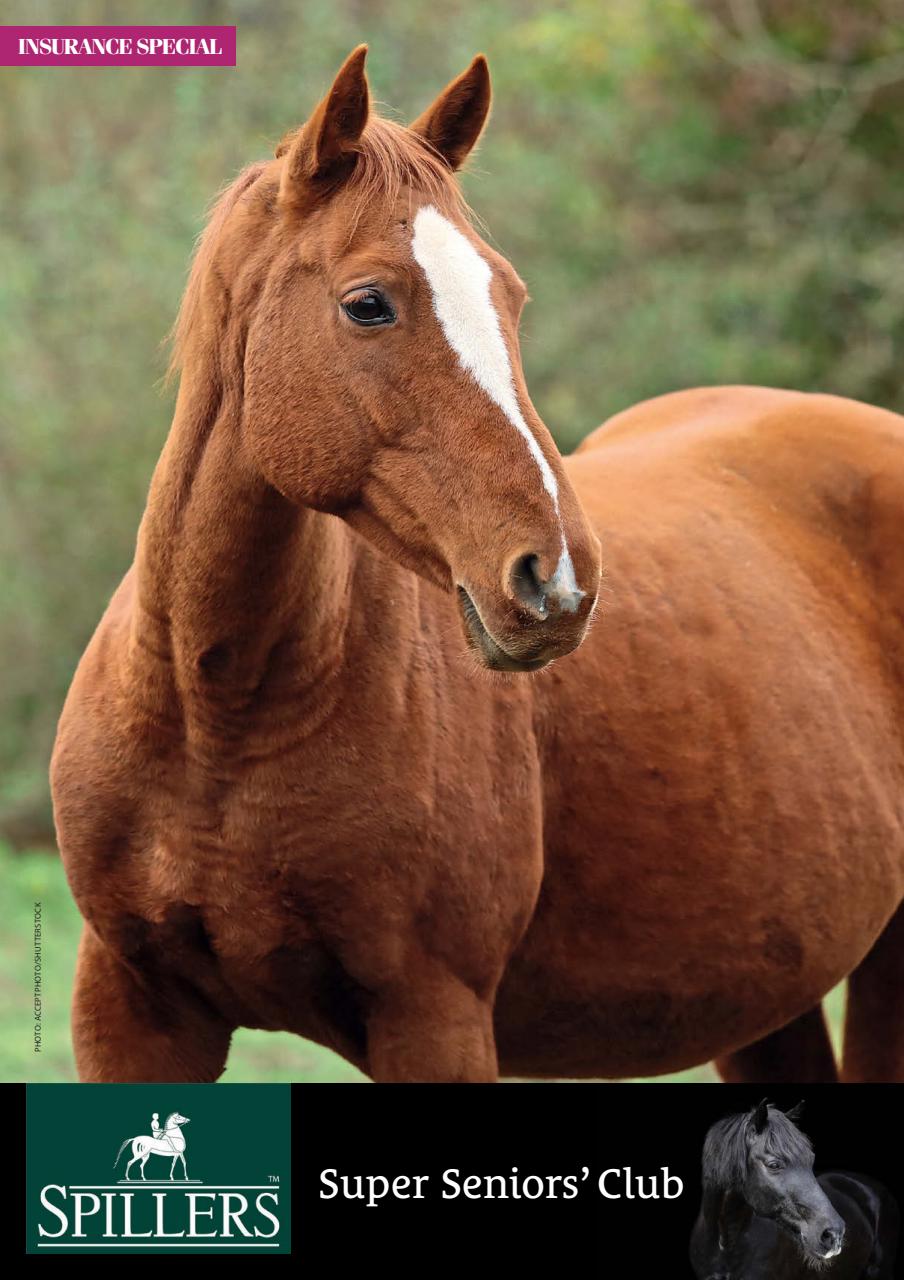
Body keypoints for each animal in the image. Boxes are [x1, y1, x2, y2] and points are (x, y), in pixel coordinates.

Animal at [51, 46, 904, 1083]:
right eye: (368, 304)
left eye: (511, 298)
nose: (559, 581)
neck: (215, 716)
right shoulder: (131, 1016)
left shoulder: (434, 1015)